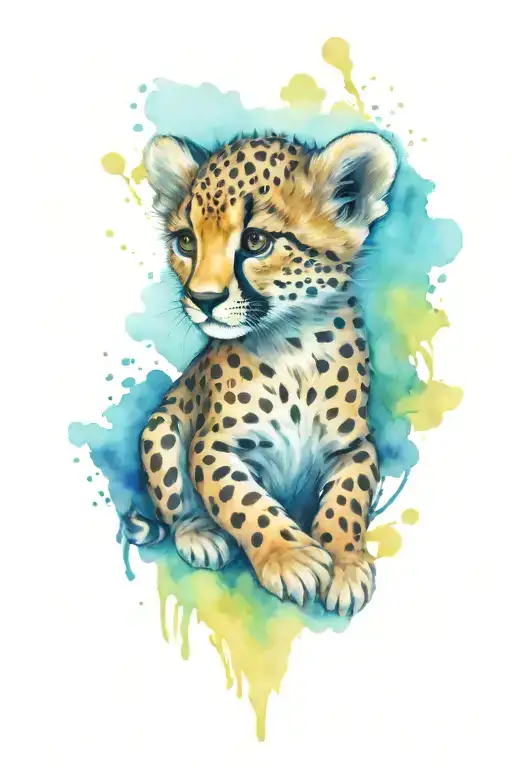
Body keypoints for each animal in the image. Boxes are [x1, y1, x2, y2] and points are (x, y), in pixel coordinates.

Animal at [137, 129, 398, 616]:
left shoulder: (354, 447)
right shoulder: (213, 446)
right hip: (160, 427)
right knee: (175, 504)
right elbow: (242, 501)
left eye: (256, 241)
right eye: (186, 243)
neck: (293, 344)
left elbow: (346, 503)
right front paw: (291, 557)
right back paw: (199, 535)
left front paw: (345, 564)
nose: (202, 299)